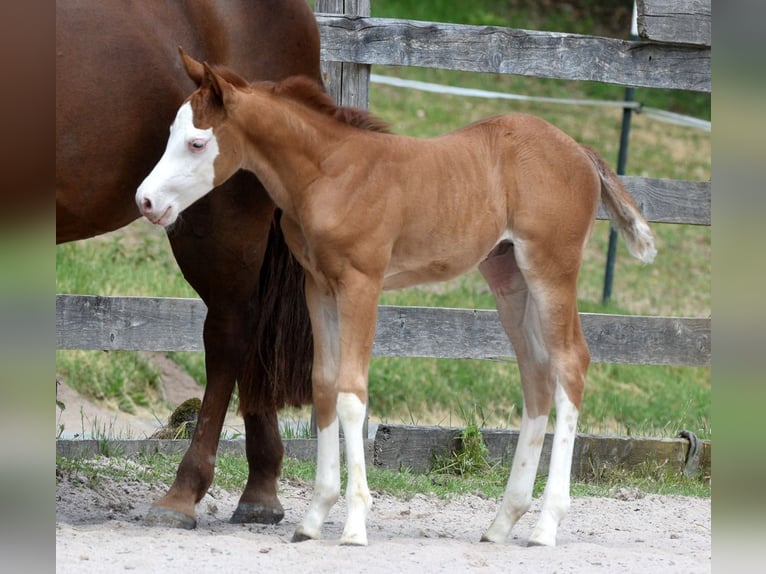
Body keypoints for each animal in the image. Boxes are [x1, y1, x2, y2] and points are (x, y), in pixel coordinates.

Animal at [136, 54, 657, 547]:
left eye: (197, 143)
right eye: (170, 133)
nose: (145, 201)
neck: (330, 174)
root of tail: (579, 149)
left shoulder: (361, 283)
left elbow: (352, 394)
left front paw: (354, 526)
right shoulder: (318, 286)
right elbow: (323, 386)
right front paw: (313, 519)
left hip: (551, 269)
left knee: (570, 364)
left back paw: (546, 526)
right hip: (507, 273)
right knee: (536, 374)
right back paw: (501, 523)